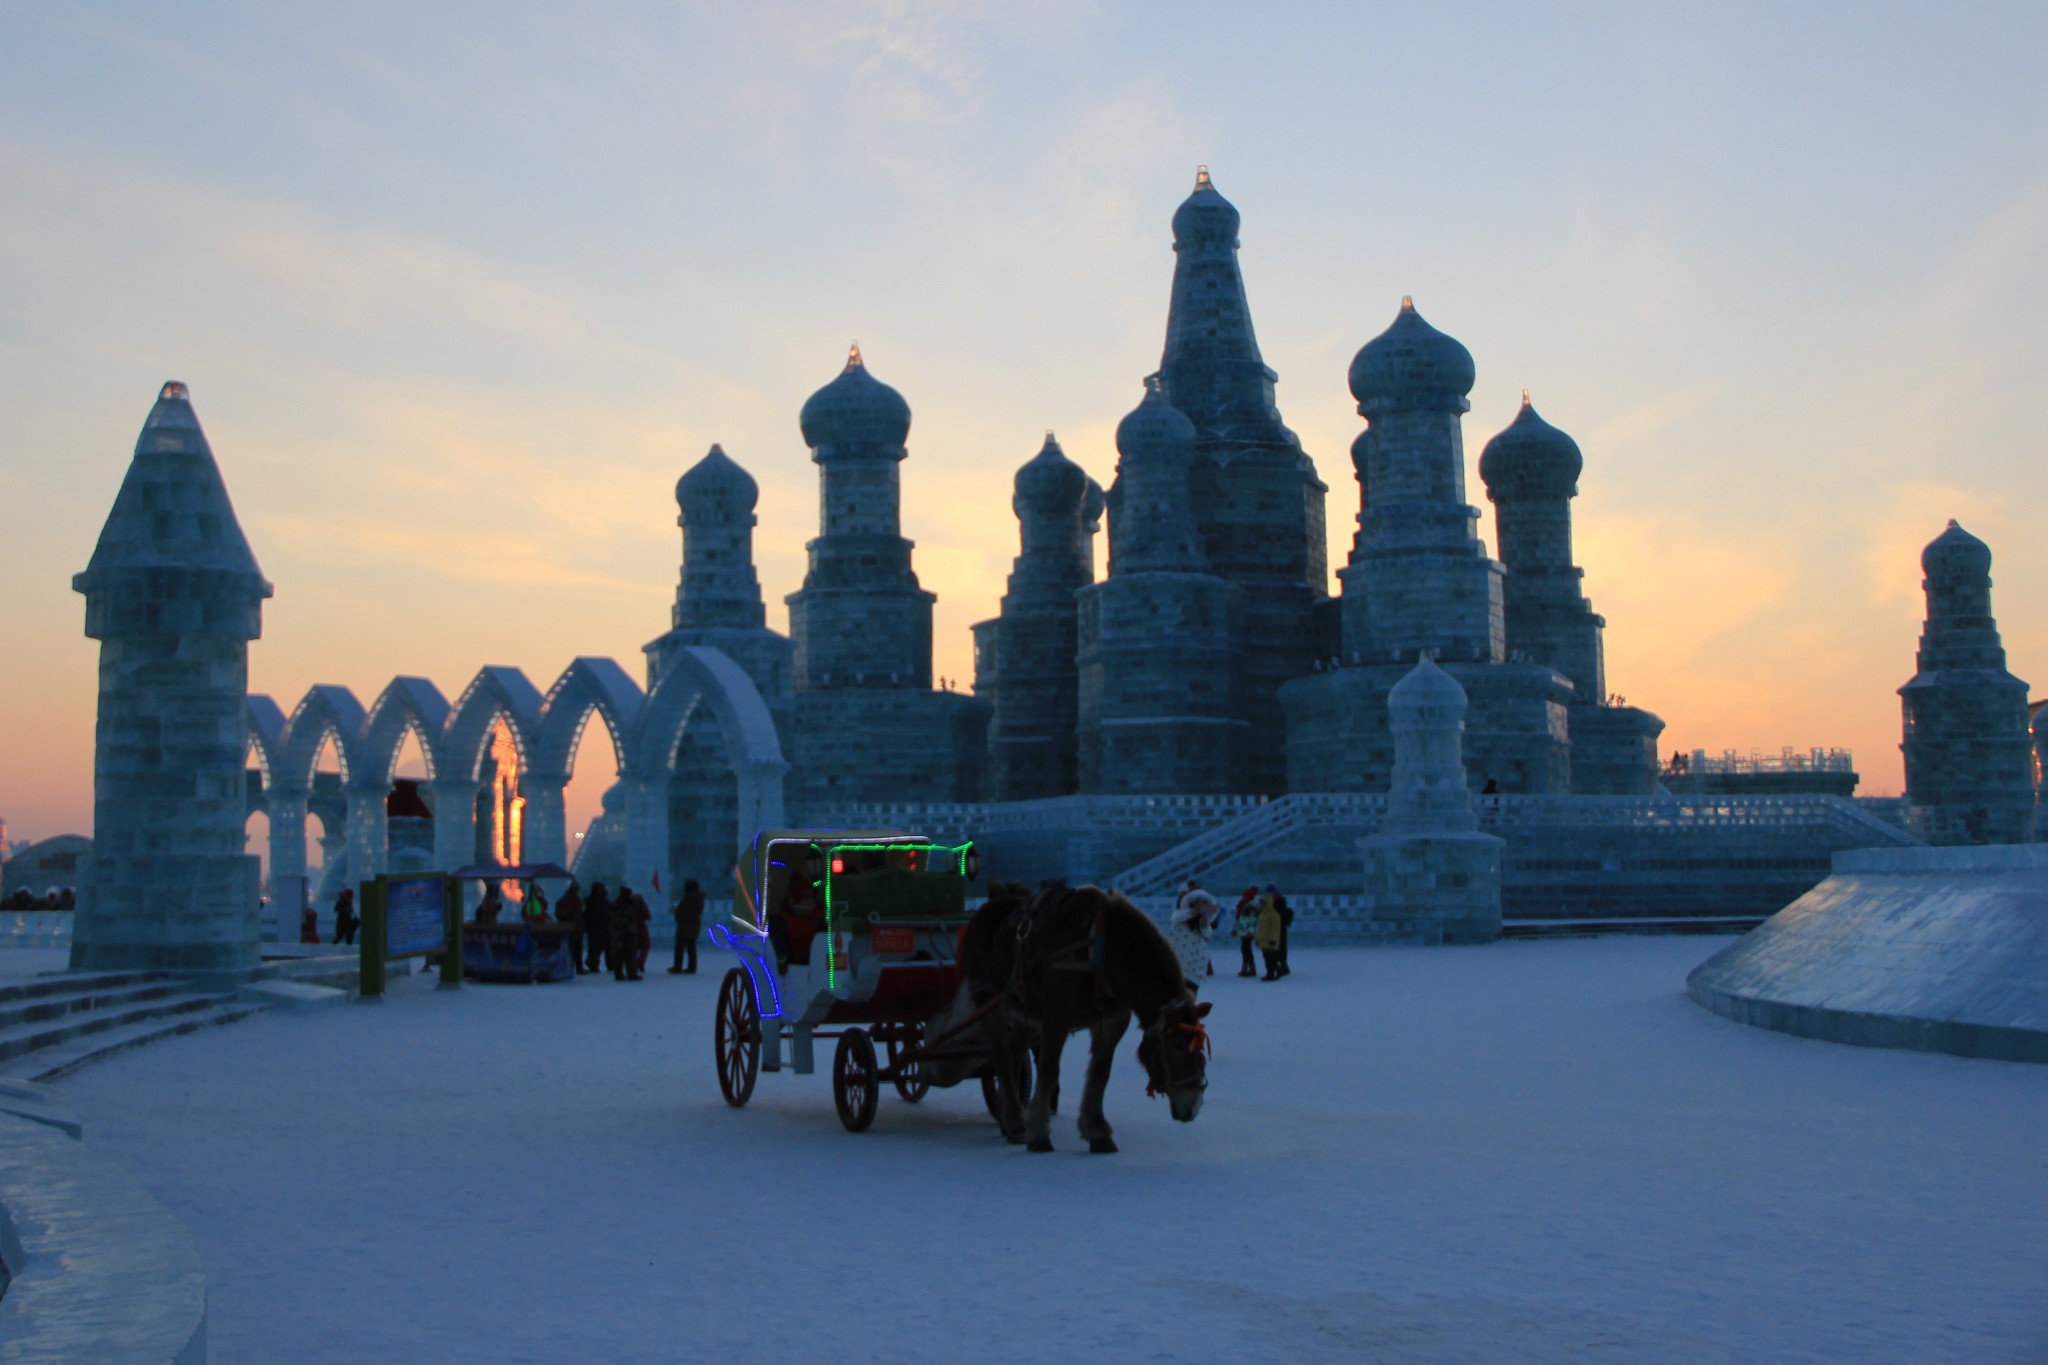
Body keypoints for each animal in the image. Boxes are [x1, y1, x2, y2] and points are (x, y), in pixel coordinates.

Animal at [954, 888, 1196, 1154]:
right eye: (1177, 1045)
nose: (1193, 1106)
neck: (1101, 952)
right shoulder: (1055, 1018)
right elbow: (1049, 1070)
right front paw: (1039, 1133)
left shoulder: (1112, 1022)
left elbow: (1100, 1073)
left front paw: (1097, 1131)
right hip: (990, 1002)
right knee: (1002, 1058)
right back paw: (1017, 1123)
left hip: (1023, 1013)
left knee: (1014, 1057)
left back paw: (1008, 1118)